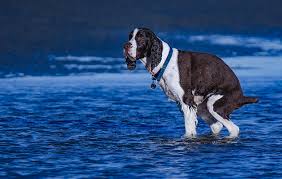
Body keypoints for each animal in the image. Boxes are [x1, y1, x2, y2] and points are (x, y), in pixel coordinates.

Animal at [122, 27, 258, 138]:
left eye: (140, 37)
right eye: (130, 37)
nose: (125, 45)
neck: (164, 61)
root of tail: (241, 96)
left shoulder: (187, 102)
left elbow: (189, 132)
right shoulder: (184, 104)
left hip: (214, 105)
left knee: (234, 129)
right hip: (202, 106)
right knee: (217, 126)